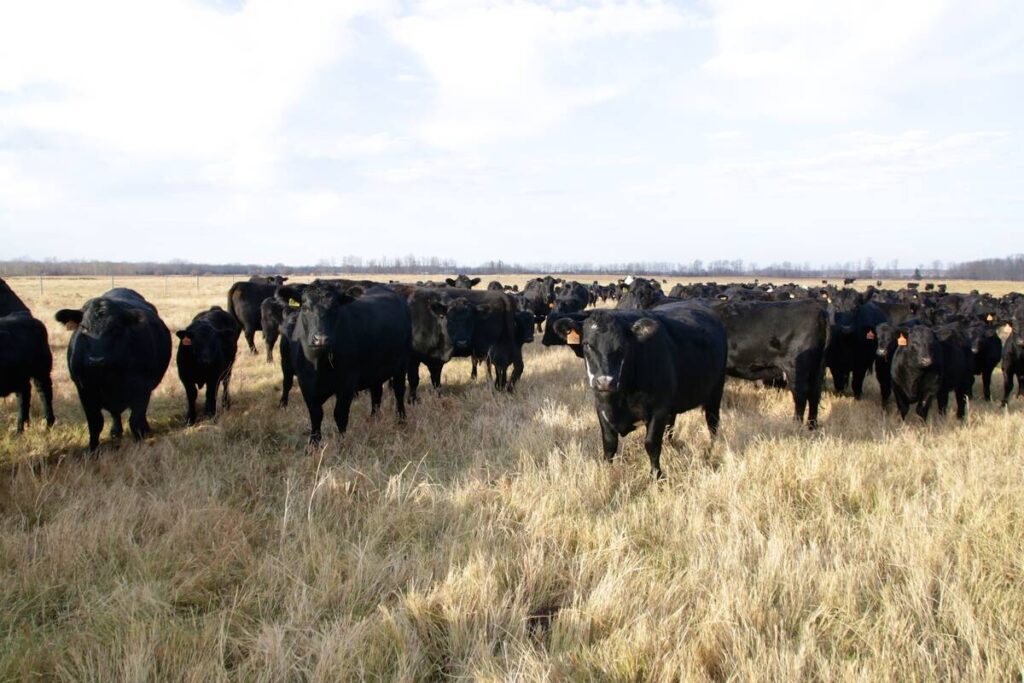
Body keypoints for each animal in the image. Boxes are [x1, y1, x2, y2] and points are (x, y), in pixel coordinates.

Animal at [0, 278, 55, 433]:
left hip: (41, 372)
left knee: (44, 393)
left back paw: (47, 423)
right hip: (20, 376)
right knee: (24, 396)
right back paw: (22, 427)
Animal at [55, 288, 171, 451]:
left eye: (115, 328)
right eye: (83, 327)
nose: (95, 360)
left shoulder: (142, 389)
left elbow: (135, 420)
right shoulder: (84, 391)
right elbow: (95, 423)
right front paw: (92, 450)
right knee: (115, 415)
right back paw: (115, 432)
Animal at [276, 282, 410, 445]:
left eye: (335, 308)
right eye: (306, 308)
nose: (321, 339)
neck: (320, 364)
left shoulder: (347, 383)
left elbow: (340, 414)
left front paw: (342, 442)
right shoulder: (306, 383)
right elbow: (316, 414)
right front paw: (314, 442)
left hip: (401, 365)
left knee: (399, 391)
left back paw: (401, 420)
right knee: (376, 393)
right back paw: (374, 418)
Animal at [549, 303, 727, 478]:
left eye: (622, 346)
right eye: (587, 344)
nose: (605, 382)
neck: (621, 397)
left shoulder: (659, 409)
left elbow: (651, 444)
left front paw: (657, 476)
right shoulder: (601, 407)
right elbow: (609, 444)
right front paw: (607, 473)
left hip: (716, 392)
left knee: (712, 424)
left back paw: (710, 452)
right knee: (671, 426)